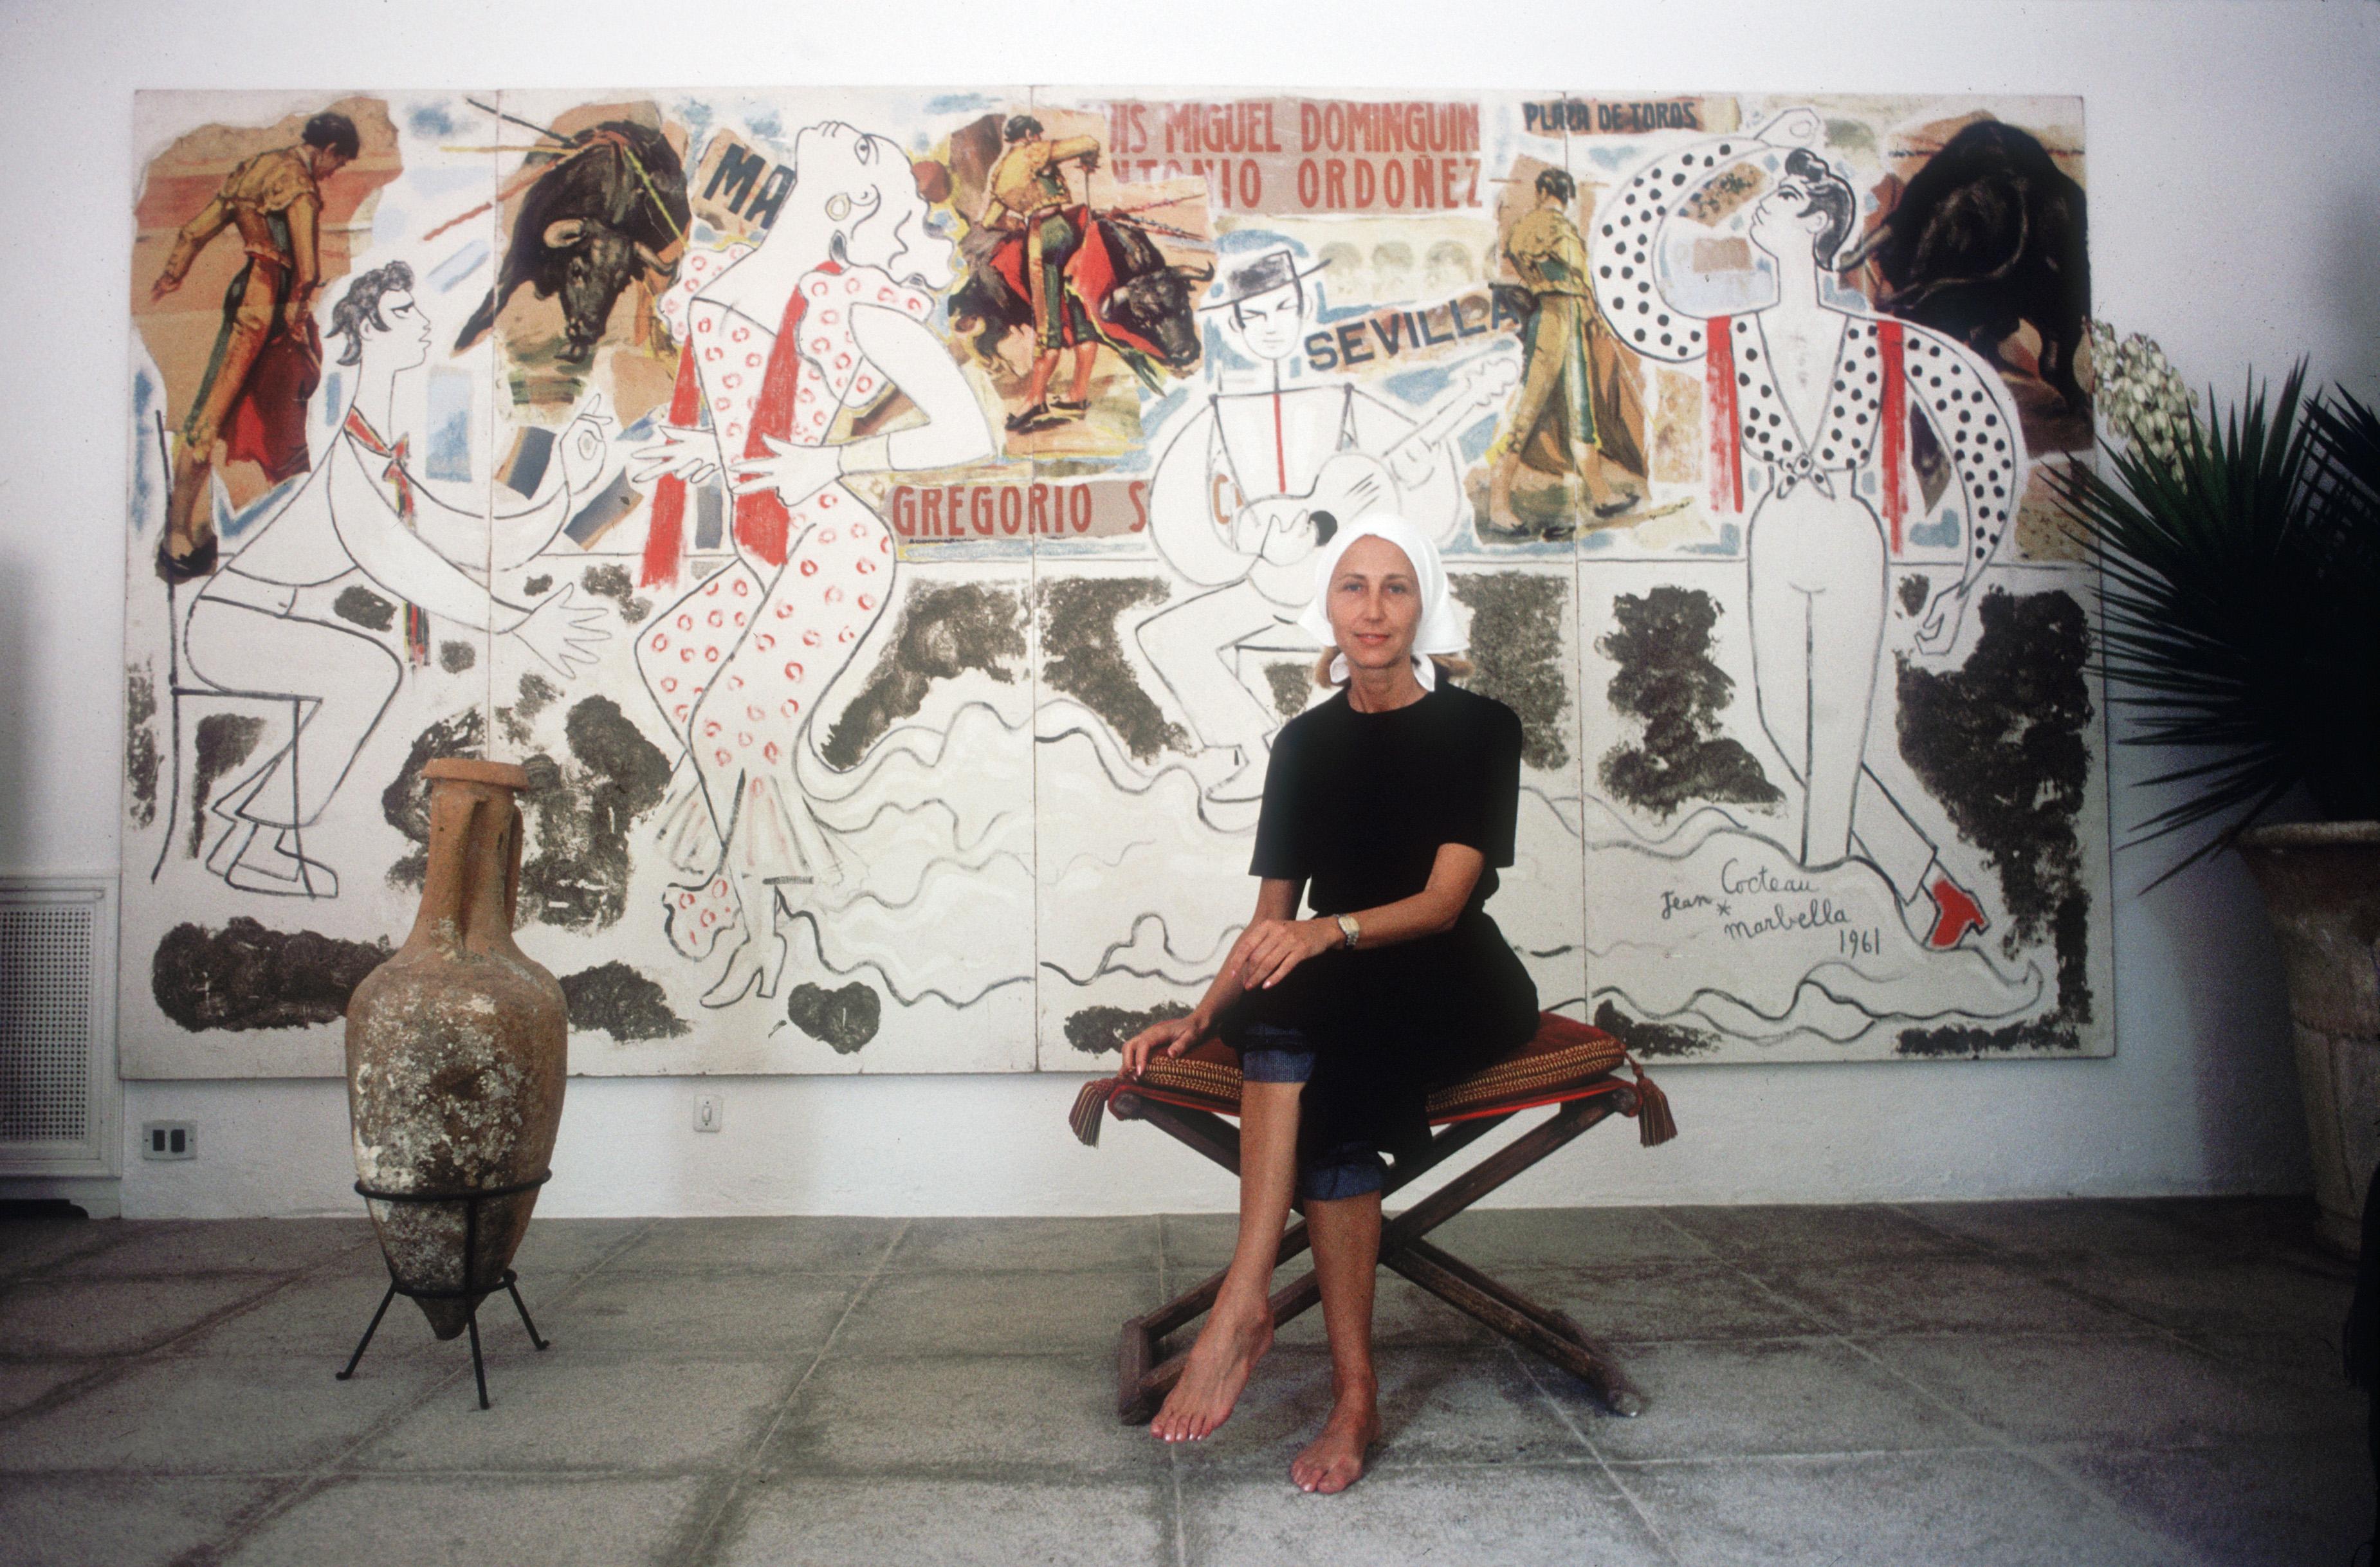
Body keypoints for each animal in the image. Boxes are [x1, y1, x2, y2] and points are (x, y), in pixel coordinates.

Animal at [452, 120, 690, 362]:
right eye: (577, 270)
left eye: (620, 283)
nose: (588, 331)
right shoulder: (517, 258)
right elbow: (494, 300)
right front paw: (462, 342)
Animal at [947, 213, 1209, 376]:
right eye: (1143, 321)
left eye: (1184, 307)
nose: (1186, 354)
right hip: (993, 315)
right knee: (973, 337)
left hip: (999, 322)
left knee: (982, 341)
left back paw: (1002, 367)